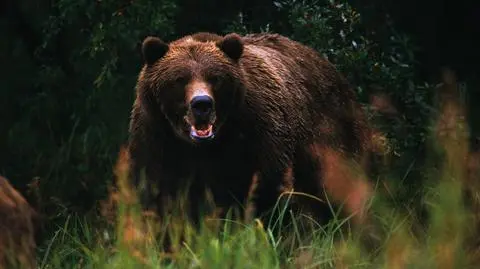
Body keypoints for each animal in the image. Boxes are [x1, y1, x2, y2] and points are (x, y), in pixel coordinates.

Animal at [127, 30, 376, 228]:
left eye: (215, 78)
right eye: (179, 79)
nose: (202, 104)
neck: (204, 147)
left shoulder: (256, 135)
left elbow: (266, 194)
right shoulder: (157, 140)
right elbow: (160, 200)